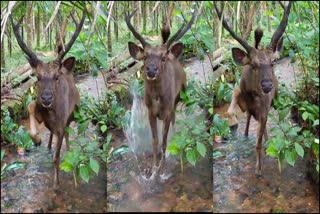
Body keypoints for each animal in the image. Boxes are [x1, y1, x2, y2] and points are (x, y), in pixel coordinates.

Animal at [10, 5, 87, 189]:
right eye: (37, 77)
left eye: (56, 77)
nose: (46, 98)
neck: (51, 113)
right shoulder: (40, 111)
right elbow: (30, 106)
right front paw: (37, 139)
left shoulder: (62, 123)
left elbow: (57, 157)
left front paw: (56, 184)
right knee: (52, 134)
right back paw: (48, 145)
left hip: (72, 117)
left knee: (66, 135)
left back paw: (66, 148)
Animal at [124, 6, 195, 174]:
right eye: (144, 57)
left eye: (163, 58)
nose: (151, 70)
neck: (157, 99)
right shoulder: (151, 112)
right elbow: (155, 140)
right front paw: (154, 168)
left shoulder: (168, 110)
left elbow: (164, 140)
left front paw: (163, 169)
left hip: (177, 100)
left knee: (174, 121)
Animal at [215, 1, 292, 175]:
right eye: (253, 65)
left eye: (272, 62)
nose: (267, 85)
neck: (251, 96)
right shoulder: (238, 91)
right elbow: (231, 108)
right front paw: (233, 125)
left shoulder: (264, 109)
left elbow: (258, 142)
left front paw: (258, 169)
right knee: (249, 118)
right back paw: (243, 134)